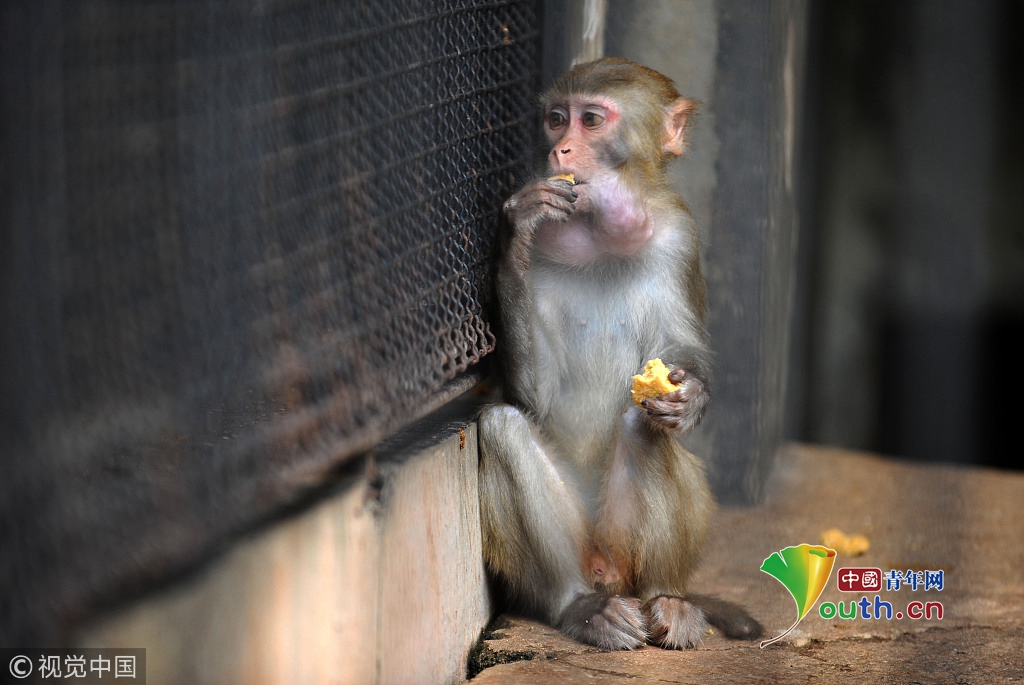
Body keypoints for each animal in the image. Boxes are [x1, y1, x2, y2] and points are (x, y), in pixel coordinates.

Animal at [478, 58, 762, 651]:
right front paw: (518, 227)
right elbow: (534, 398)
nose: (560, 150)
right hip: (584, 545)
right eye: (556, 119)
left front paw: (690, 396)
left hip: (623, 545)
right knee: (502, 427)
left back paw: (665, 599)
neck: (598, 238)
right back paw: (580, 605)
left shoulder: (680, 237)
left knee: (641, 423)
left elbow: (681, 353)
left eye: (590, 120)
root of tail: (608, 569)